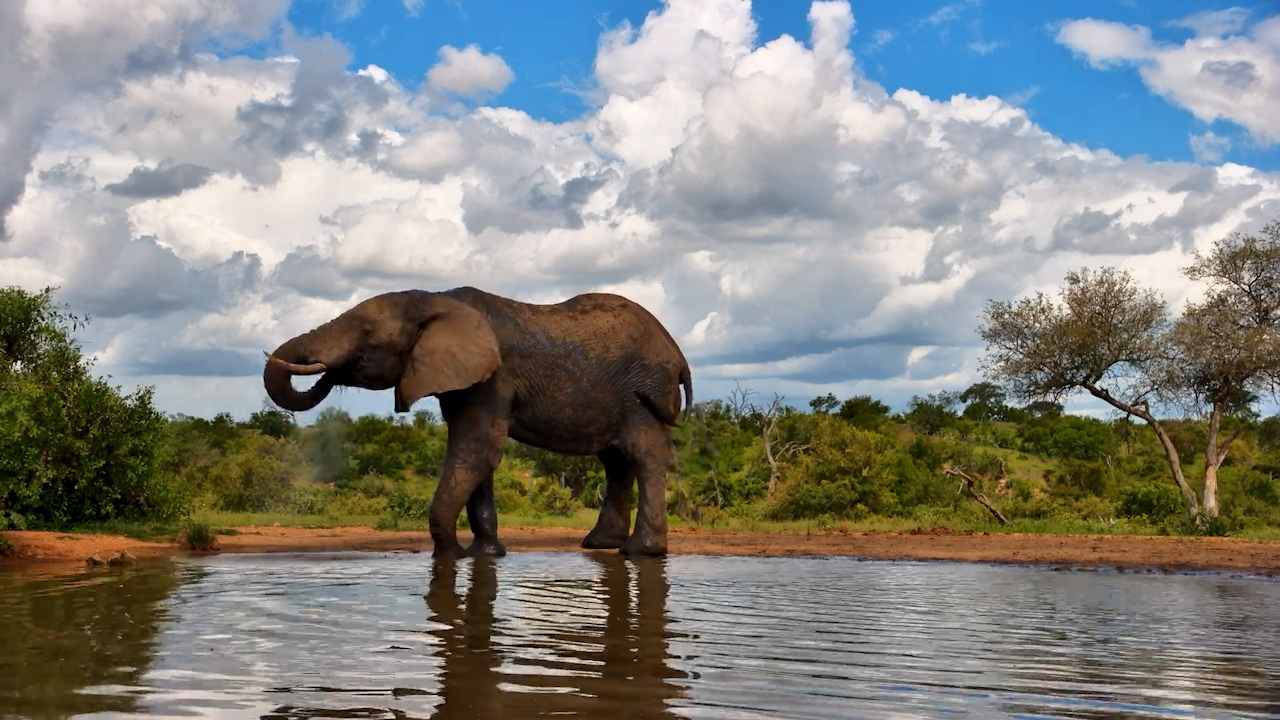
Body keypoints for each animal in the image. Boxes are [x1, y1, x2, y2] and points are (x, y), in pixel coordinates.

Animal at [262, 285, 693, 558]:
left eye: (367, 334)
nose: (327, 370)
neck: (435, 299)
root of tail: (678, 353)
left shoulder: (493, 378)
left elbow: (476, 450)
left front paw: (451, 556)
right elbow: (475, 456)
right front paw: (486, 555)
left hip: (645, 393)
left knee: (643, 455)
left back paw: (641, 553)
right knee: (617, 461)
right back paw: (599, 546)